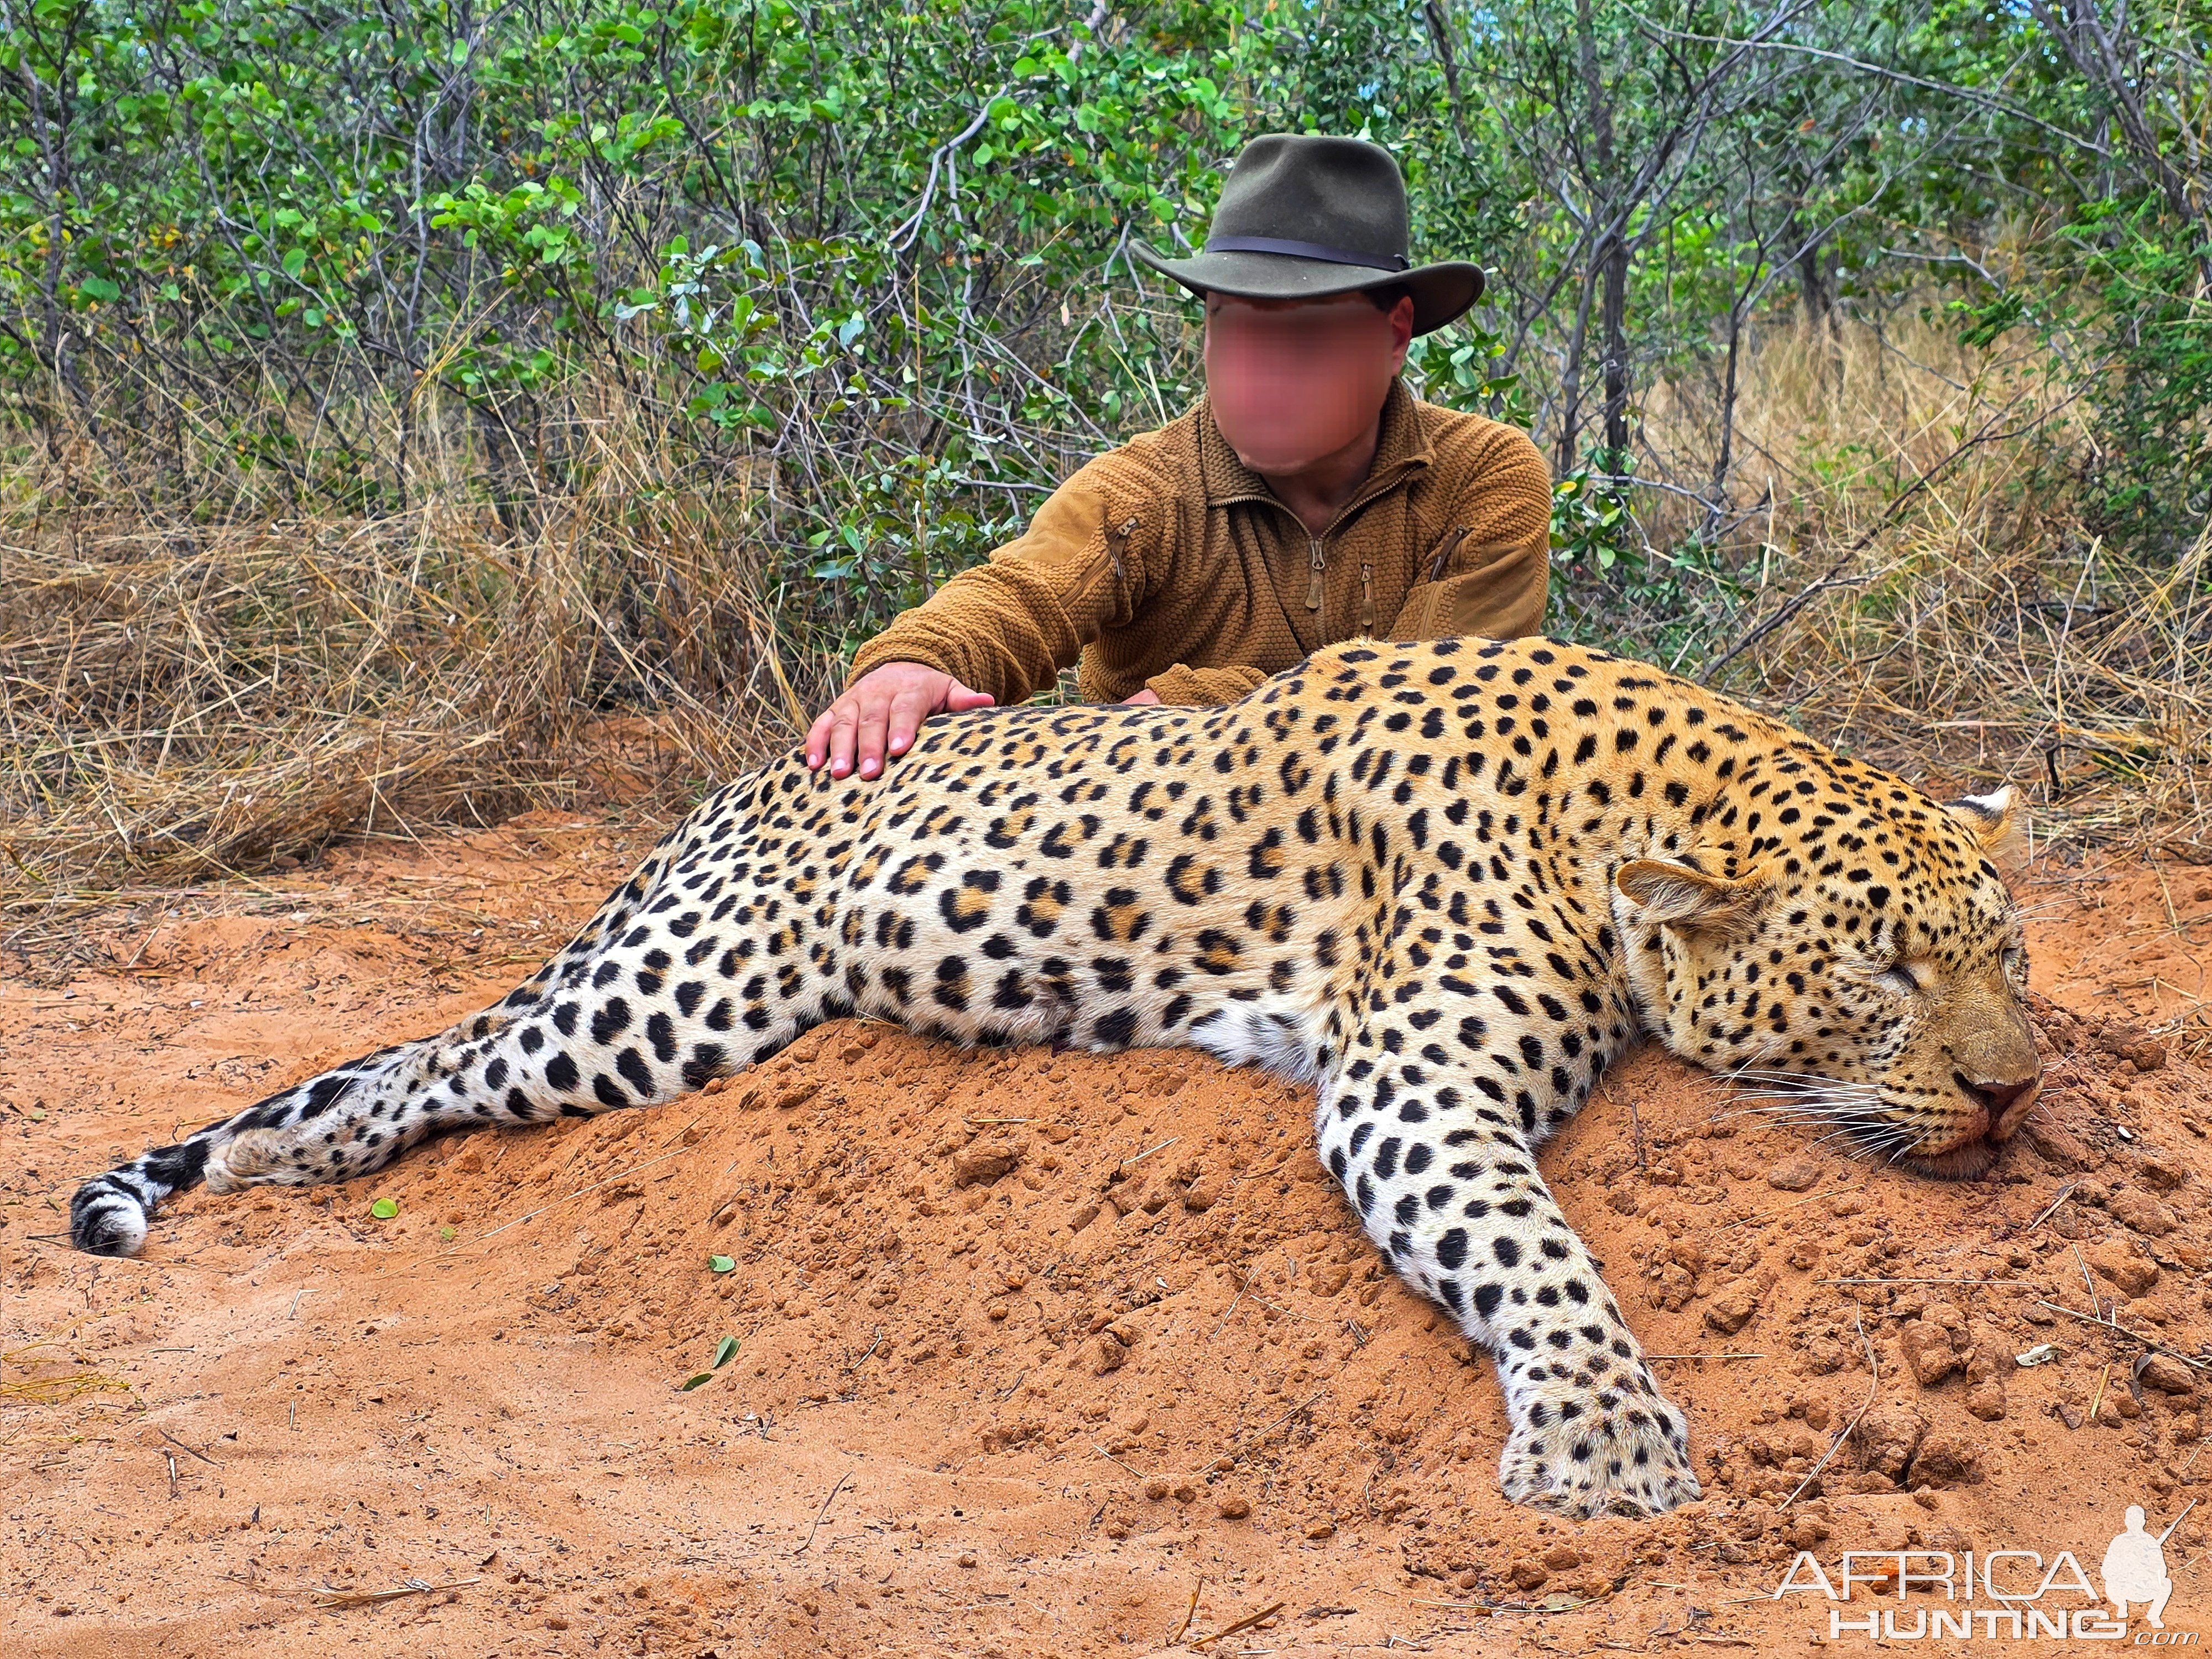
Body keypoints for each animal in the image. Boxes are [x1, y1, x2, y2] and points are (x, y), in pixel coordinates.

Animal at [69, 634, 2043, 1519]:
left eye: (2005, 955)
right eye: (1883, 967)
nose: (2016, 1096)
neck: (1623, 804)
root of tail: (752, 773)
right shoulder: (1409, 1085)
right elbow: (1539, 1255)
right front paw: (1604, 1435)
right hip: (668, 1001)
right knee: (431, 1058)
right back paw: (264, 1169)